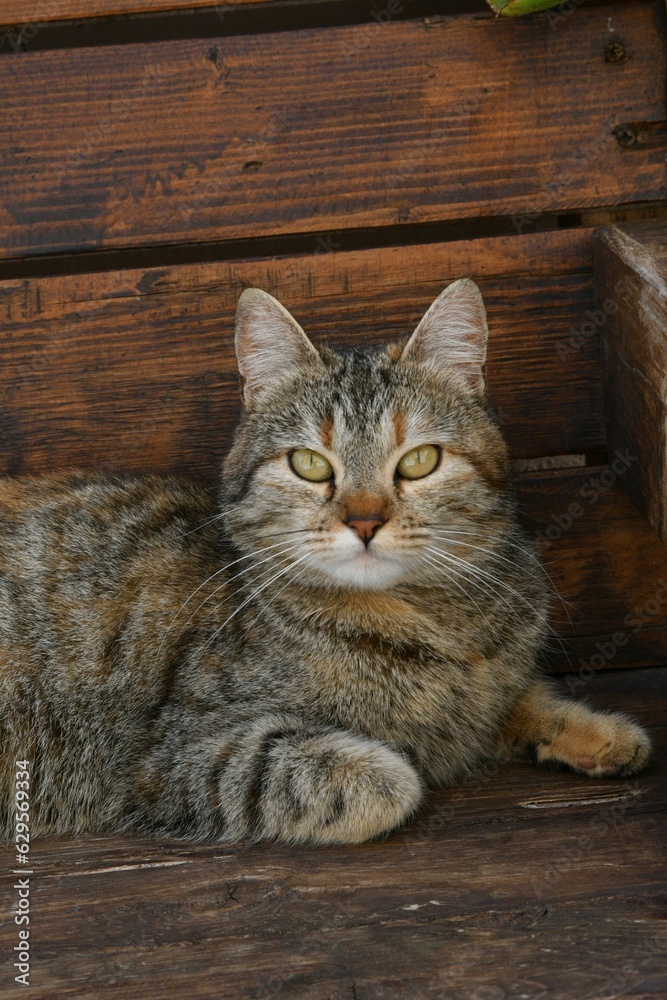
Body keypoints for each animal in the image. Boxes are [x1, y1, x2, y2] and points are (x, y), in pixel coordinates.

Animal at [0, 280, 648, 844]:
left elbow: (519, 697)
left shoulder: (493, 682)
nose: (363, 521)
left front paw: (597, 733)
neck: (435, 623)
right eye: (310, 464)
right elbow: (386, 778)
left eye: (419, 461)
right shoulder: (179, 755)